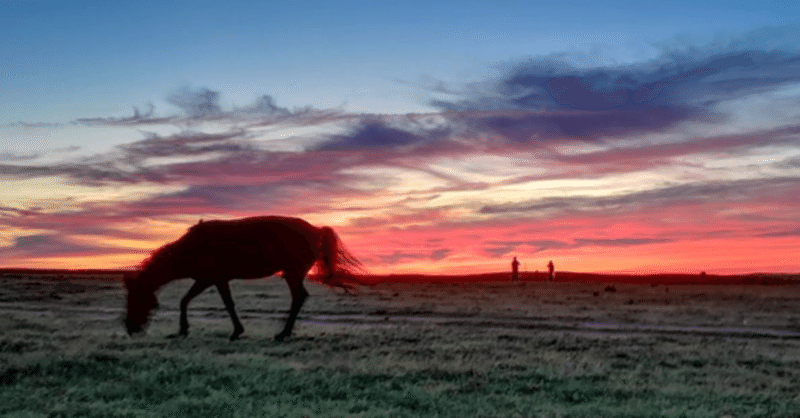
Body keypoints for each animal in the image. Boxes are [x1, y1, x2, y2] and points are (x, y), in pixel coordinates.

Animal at [123, 217, 364, 342]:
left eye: (135, 299)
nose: (130, 329)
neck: (192, 247)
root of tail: (316, 230)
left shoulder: (211, 279)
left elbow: (224, 304)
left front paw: (235, 331)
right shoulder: (210, 279)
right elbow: (187, 300)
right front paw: (183, 329)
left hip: (292, 273)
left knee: (298, 298)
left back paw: (283, 334)